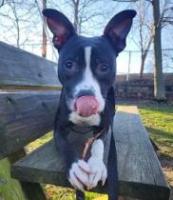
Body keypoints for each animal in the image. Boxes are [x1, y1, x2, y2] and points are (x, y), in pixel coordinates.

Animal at [42, 8, 136, 199]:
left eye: (104, 67)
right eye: (69, 64)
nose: (86, 99)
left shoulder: (104, 126)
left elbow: (100, 142)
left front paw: (97, 166)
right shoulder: (58, 129)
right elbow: (64, 144)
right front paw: (75, 168)